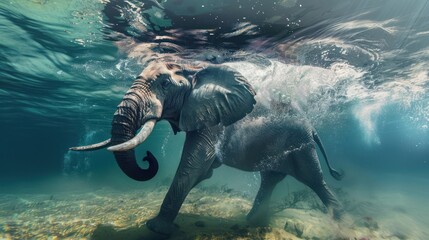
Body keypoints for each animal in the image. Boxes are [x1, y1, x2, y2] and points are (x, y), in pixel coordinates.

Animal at [72, 61, 342, 237]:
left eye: (165, 84)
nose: (148, 157)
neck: (192, 70)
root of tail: (312, 128)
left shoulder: (214, 121)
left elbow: (192, 167)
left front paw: (156, 229)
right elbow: (200, 170)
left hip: (301, 147)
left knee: (314, 179)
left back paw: (338, 221)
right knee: (269, 181)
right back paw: (251, 221)